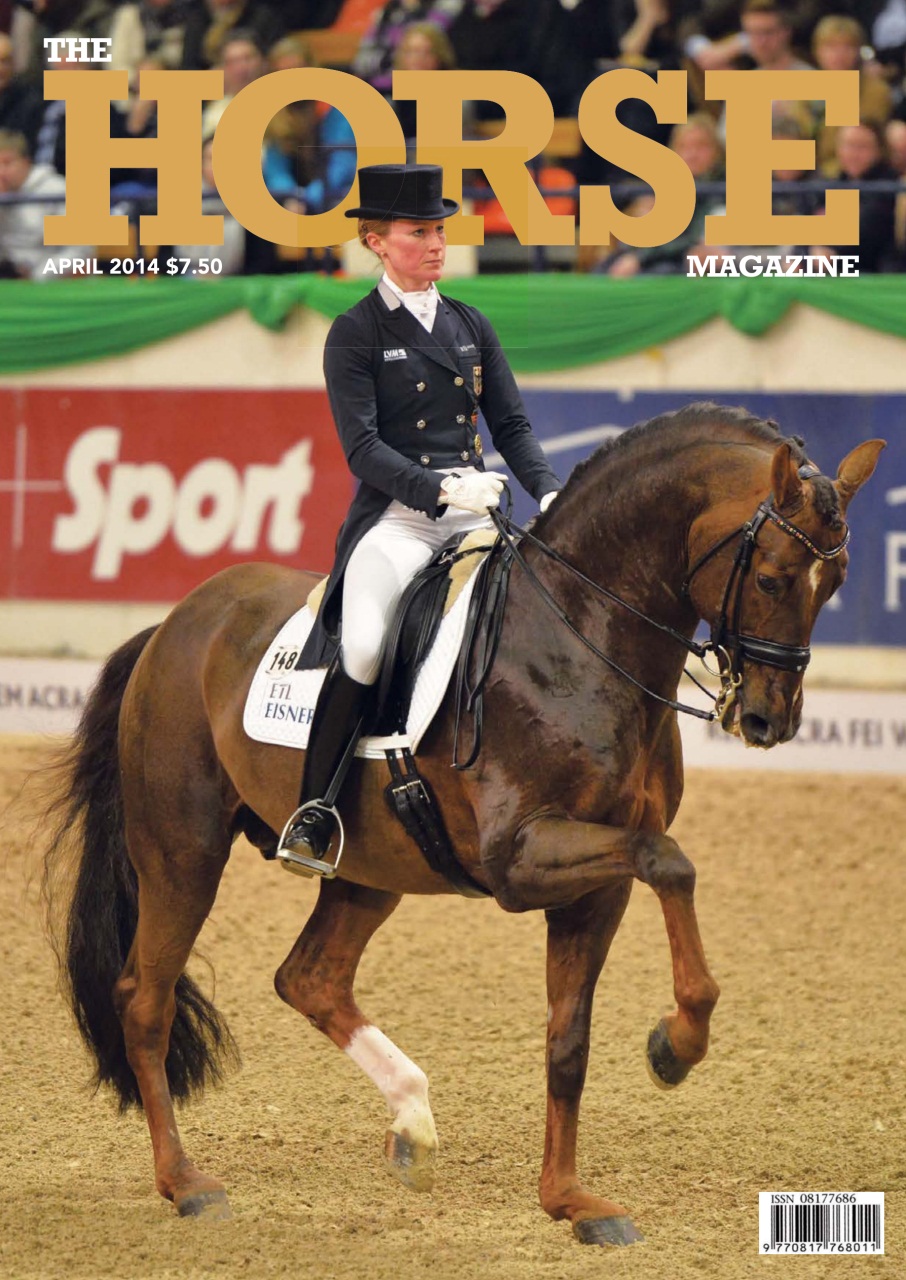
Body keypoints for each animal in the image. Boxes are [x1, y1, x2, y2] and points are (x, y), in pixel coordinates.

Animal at [42, 403, 883, 1247]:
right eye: (773, 577)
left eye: (837, 581)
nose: (768, 720)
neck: (580, 637)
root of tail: (174, 624)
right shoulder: (522, 860)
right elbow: (672, 862)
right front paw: (674, 1048)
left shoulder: (596, 884)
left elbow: (570, 1040)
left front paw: (570, 1201)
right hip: (181, 852)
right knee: (143, 1001)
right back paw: (186, 1183)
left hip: (368, 867)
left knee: (309, 977)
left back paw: (413, 1122)